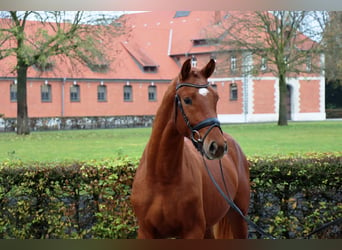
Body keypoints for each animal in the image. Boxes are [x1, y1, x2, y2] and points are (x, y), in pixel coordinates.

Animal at [132, 58, 250, 238]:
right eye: (187, 100)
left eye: (216, 98)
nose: (218, 146)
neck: (161, 178)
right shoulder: (146, 232)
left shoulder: (193, 231)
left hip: (239, 218)